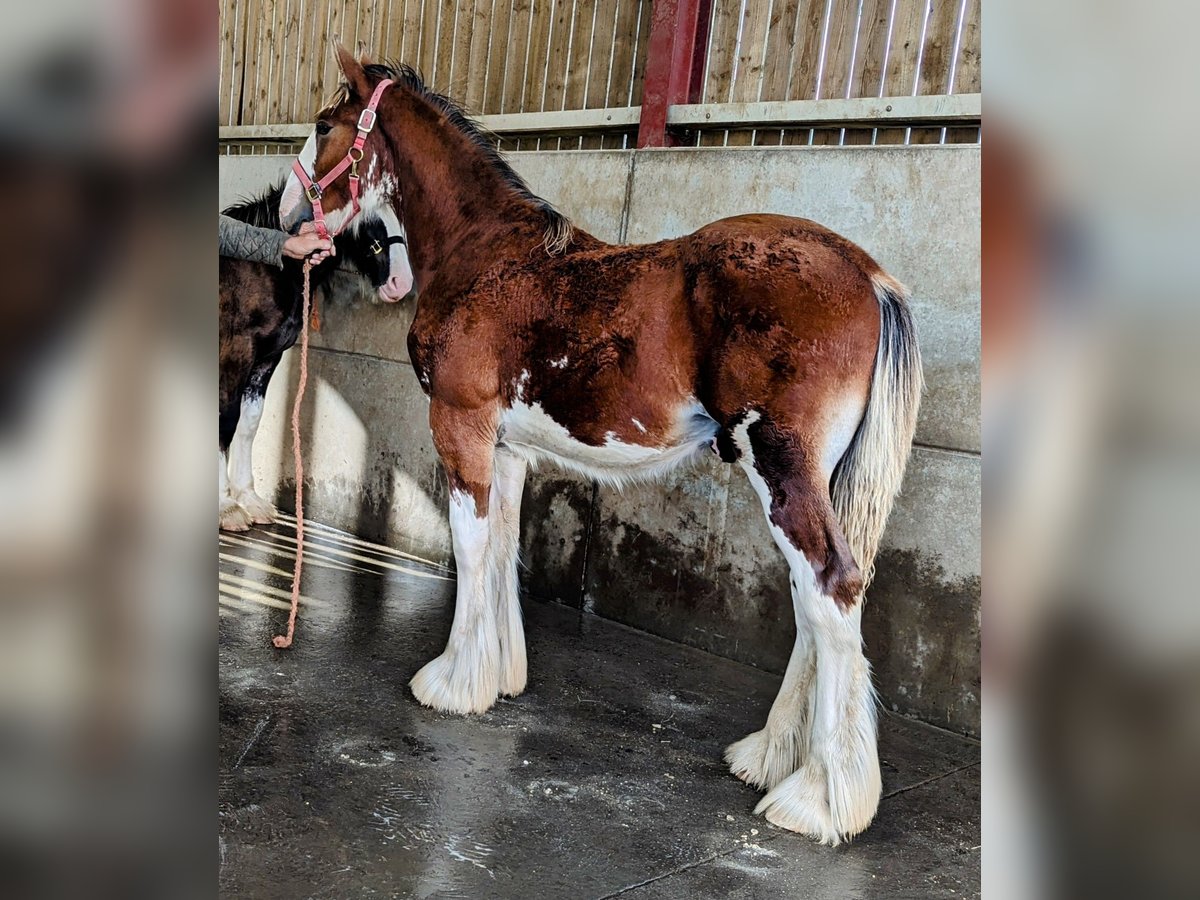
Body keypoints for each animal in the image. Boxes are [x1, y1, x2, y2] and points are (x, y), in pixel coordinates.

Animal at [278, 51, 916, 844]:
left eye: (324, 125)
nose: (287, 214)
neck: (486, 254)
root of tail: (868, 276)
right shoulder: (506, 446)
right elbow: (502, 548)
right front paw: (498, 676)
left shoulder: (459, 427)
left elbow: (469, 547)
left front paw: (451, 683)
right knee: (816, 602)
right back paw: (770, 757)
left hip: (782, 469)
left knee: (831, 588)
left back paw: (818, 801)